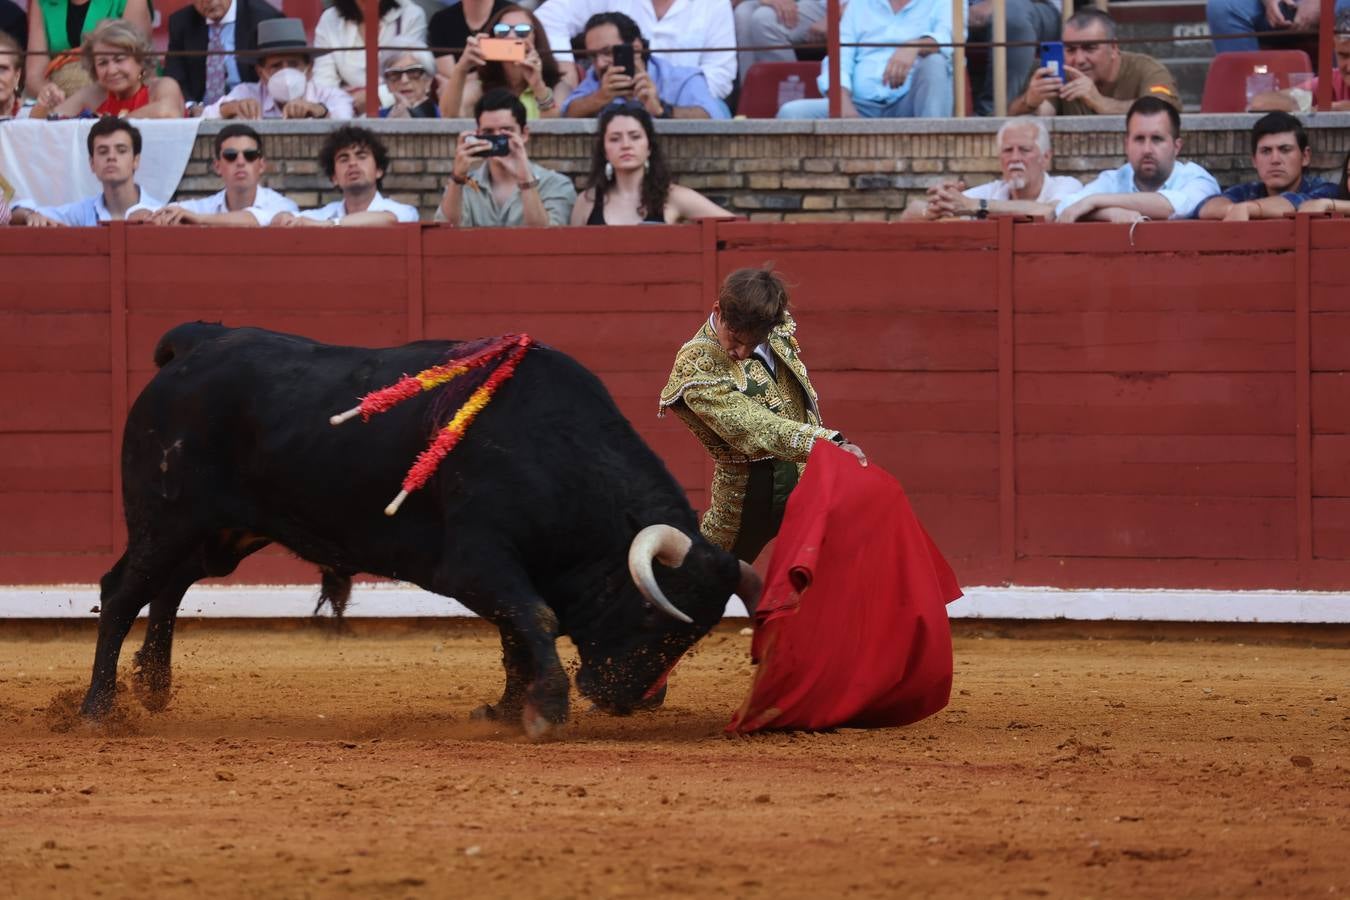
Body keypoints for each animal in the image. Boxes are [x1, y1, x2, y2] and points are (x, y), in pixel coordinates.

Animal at [84, 323, 761, 739]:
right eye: (650, 612)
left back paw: (152, 688)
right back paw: (97, 709)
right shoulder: (475, 562)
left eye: (693, 636)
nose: (627, 700)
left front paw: (505, 710)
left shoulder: (509, 571)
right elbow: (533, 618)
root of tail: (198, 343)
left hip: (220, 533)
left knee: (169, 588)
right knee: (122, 592)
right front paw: (545, 711)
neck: (560, 456)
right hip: (166, 519)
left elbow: (516, 632)